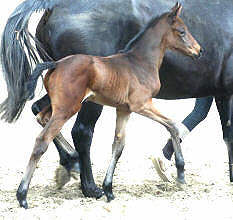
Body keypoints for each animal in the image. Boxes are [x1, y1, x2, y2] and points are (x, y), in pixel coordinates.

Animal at [17, 2, 201, 207]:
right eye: (182, 31)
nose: (199, 50)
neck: (140, 63)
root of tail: (56, 64)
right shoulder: (142, 105)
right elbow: (173, 125)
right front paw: (181, 172)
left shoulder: (124, 110)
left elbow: (118, 145)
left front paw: (109, 189)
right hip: (68, 108)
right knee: (43, 140)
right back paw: (22, 196)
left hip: (58, 105)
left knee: (41, 116)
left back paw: (72, 160)